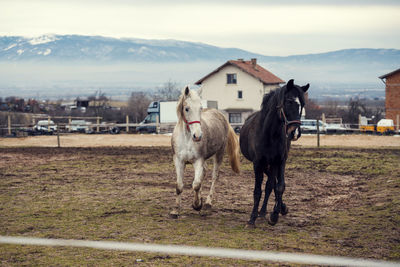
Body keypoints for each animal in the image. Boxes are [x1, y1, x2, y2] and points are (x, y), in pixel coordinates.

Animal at [170, 87, 239, 219]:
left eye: (200, 108)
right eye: (187, 108)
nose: (197, 136)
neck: (187, 138)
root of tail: (221, 115)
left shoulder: (198, 161)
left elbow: (196, 184)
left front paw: (197, 205)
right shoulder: (179, 161)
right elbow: (179, 186)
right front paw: (175, 210)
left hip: (219, 153)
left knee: (214, 177)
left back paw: (207, 203)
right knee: (204, 173)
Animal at [241, 79, 310, 226]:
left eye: (302, 104)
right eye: (289, 102)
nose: (295, 132)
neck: (269, 133)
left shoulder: (280, 161)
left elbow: (279, 186)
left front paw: (275, 215)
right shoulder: (258, 164)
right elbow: (257, 191)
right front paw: (252, 219)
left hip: (272, 165)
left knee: (271, 185)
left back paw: (267, 211)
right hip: (265, 165)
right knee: (269, 184)